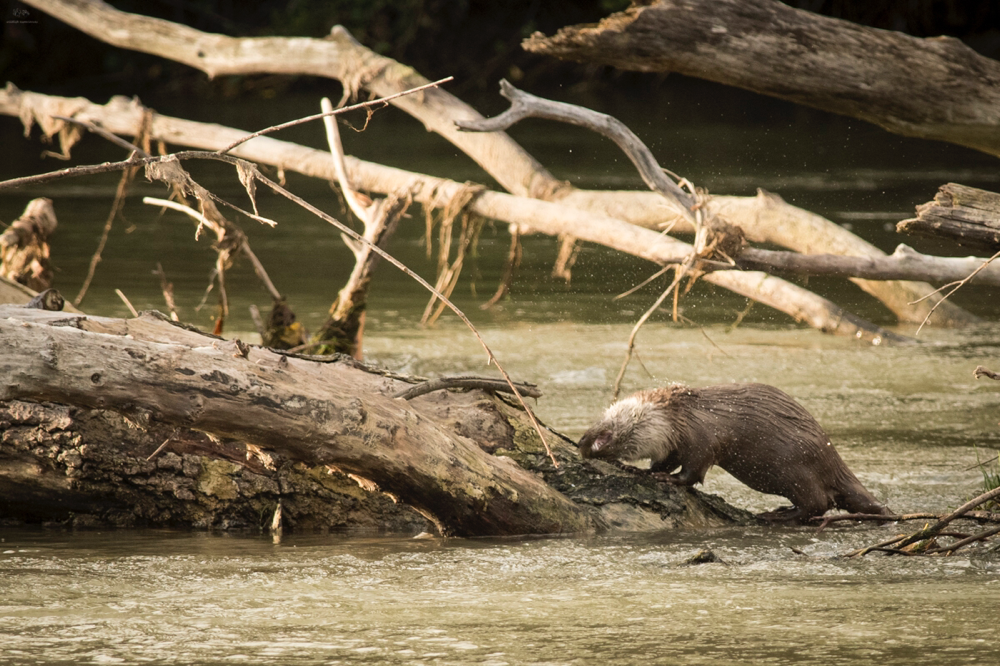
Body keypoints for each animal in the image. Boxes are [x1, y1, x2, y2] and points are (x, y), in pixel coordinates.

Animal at [580, 384, 892, 520]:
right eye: (603, 413)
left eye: (613, 423)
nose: (583, 440)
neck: (681, 418)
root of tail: (831, 457)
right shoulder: (674, 444)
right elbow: (665, 461)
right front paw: (637, 468)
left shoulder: (702, 438)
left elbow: (693, 471)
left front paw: (666, 479)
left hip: (797, 469)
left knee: (818, 503)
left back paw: (776, 515)